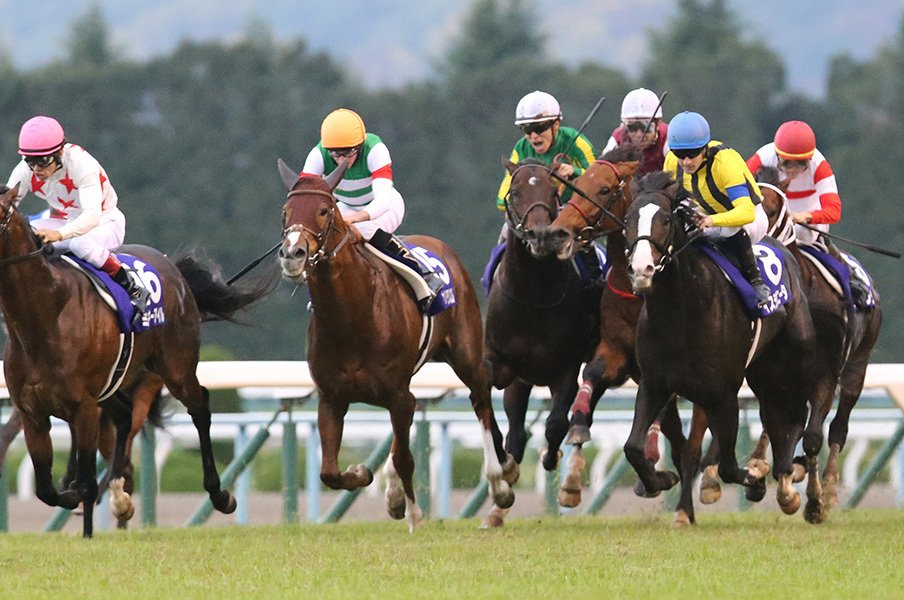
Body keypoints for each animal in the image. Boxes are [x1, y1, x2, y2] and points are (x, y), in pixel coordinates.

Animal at [0, 185, 268, 536]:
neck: (45, 317)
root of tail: (173, 268)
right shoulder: (32, 410)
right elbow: (45, 488)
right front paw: (76, 494)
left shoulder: (84, 407)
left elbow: (85, 481)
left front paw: (87, 530)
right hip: (113, 387)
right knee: (126, 418)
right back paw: (119, 496)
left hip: (175, 368)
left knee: (199, 407)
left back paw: (219, 494)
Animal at [276, 158, 516, 528]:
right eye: (285, 213)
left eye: (324, 210)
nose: (293, 253)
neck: (353, 319)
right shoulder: (333, 397)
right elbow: (329, 472)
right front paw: (362, 474)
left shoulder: (399, 395)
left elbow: (407, 459)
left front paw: (415, 514)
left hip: (466, 354)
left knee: (481, 401)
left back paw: (499, 479)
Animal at [484, 158, 604, 524]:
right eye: (515, 192)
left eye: (553, 192)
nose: (539, 234)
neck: (532, 297)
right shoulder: (499, 363)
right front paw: (504, 464)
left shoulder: (565, 367)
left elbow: (555, 424)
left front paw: (551, 457)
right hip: (521, 380)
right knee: (517, 431)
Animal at [756, 166, 884, 516]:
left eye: (772, 207)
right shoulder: (770, 377)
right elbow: (777, 426)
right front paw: (776, 478)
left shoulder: (825, 374)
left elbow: (813, 436)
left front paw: (813, 500)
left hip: (857, 366)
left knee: (839, 426)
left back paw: (827, 487)